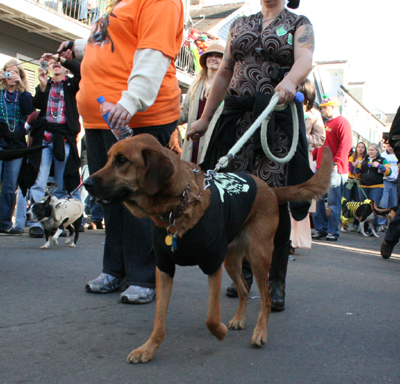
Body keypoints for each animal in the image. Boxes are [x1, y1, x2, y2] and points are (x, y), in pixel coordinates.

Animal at [83, 134, 332, 364]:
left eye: (122, 160)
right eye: (108, 159)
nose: (86, 184)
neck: (178, 207)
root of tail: (269, 189)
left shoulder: (213, 264)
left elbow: (211, 317)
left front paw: (219, 331)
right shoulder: (164, 268)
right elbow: (159, 319)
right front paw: (148, 348)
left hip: (258, 257)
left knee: (266, 299)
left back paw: (260, 332)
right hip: (231, 260)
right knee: (243, 290)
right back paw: (240, 319)